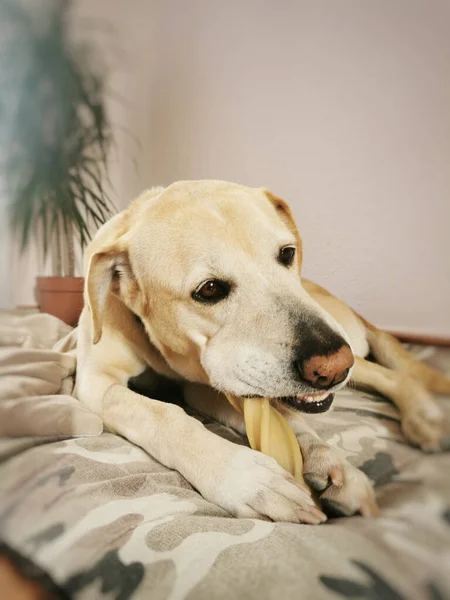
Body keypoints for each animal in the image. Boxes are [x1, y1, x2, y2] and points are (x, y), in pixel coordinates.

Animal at [74, 179, 450, 524]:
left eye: (287, 253)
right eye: (209, 289)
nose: (332, 366)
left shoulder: (211, 384)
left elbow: (288, 419)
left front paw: (330, 460)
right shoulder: (96, 383)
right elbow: (162, 414)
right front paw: (249, 480)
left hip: (349, 345)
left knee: (394, 376)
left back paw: (425, 417)